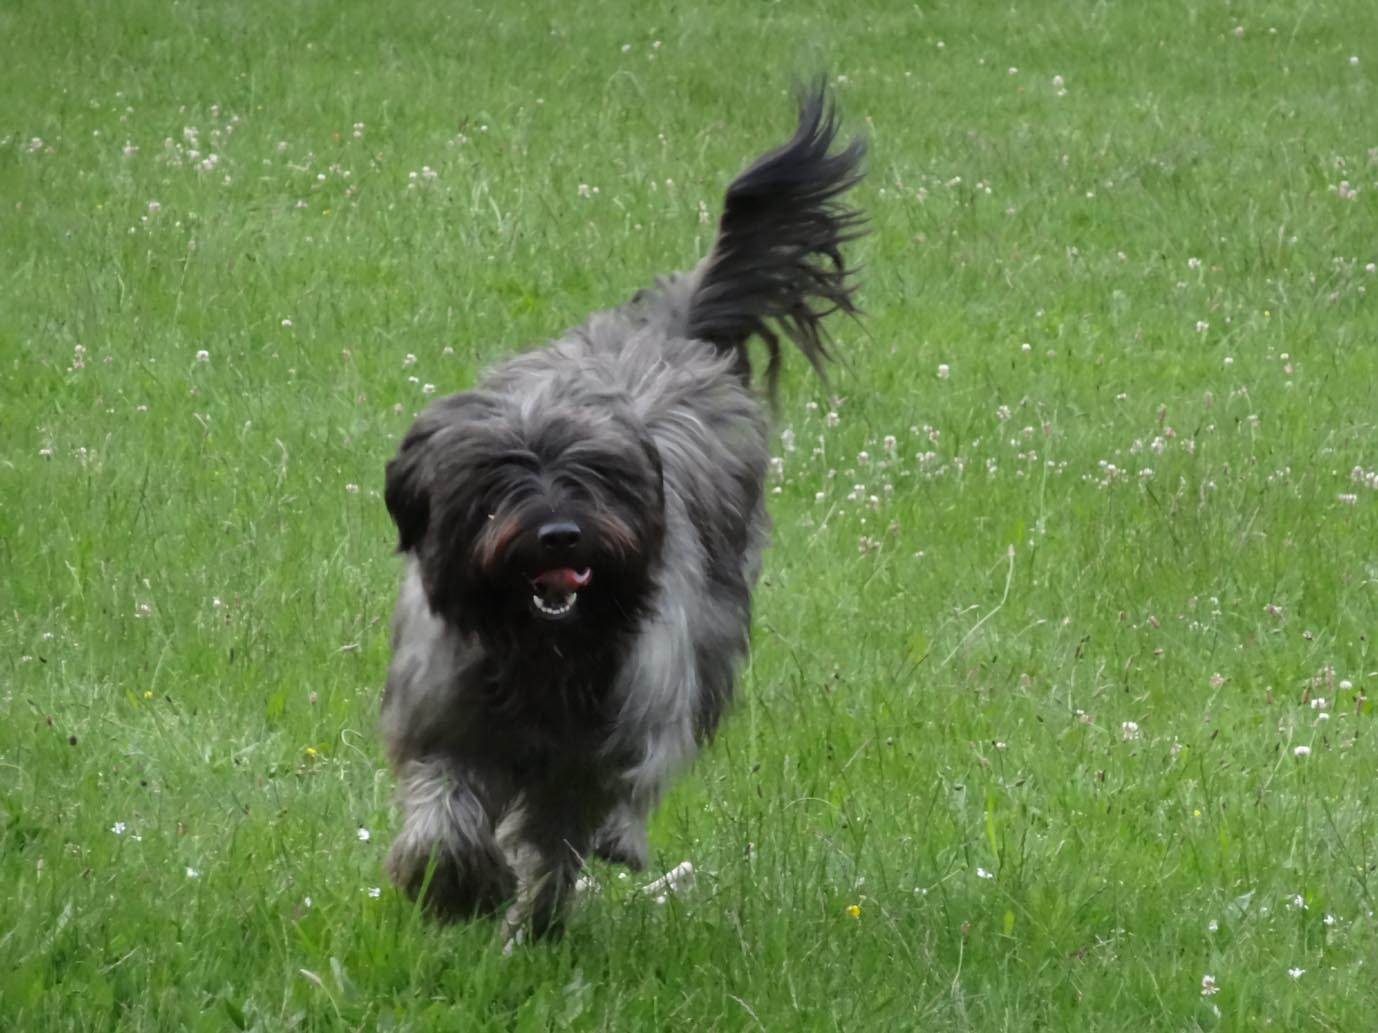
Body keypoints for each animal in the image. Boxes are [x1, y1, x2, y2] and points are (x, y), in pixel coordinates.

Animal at [380, 87, 859, 947]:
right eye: (496, 482)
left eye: (594, 478)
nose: (559, 535)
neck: (540, 649)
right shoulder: (442, 715)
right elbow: (444, 806)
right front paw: (456, 882)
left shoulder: (608, 736)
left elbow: (561, 831)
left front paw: (533, 918)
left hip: (706, 639)